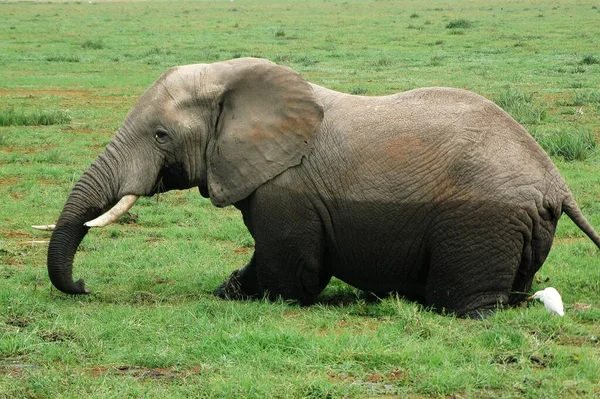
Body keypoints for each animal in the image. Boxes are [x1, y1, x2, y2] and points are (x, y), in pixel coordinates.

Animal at [45, 57, 600, 318]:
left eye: (161, 136)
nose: (85, 285)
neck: (236, 82)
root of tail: (556, 180)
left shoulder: (286, 192)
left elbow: (290, 273)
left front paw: (249, 295)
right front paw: (226, 289)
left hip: (483, 218)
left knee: (465, 304)